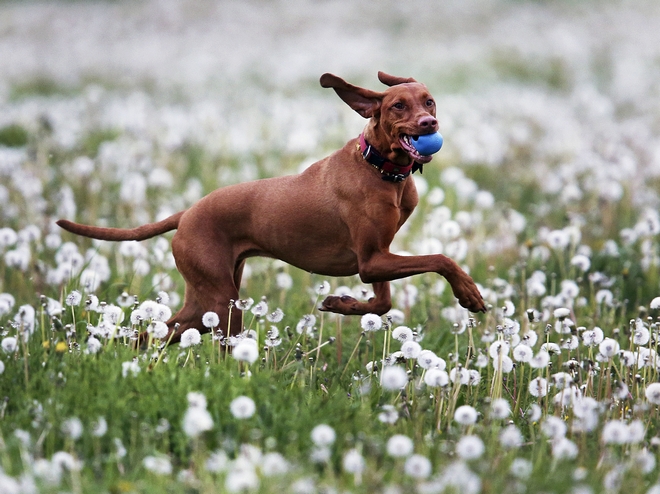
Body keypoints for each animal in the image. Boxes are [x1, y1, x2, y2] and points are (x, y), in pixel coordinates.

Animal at [59, 72, 488, 344]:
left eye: (429, 101)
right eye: (398, 105)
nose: (429, 123)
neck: (381, 169)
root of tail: (187, 213)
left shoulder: (377, 256)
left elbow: (383, 303)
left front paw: (341, 304)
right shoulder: (371, 260)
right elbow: (441, 258)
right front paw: (468, 294)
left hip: (205, 299)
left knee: (158, 333)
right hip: (223, 303)